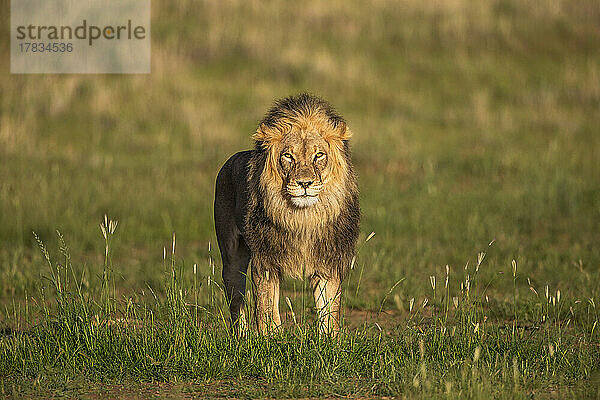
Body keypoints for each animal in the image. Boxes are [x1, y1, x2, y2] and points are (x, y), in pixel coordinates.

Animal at [213, 93, 358, 334]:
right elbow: (267, 308)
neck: (303, 218)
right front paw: (271, 337)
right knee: (235, 294)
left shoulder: (328, 260)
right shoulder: (266, 260)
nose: (304, 183)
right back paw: (241, 336)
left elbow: (329, 310)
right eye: (288, 156)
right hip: (231, 251)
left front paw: (329, 339)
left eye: (319, 155)